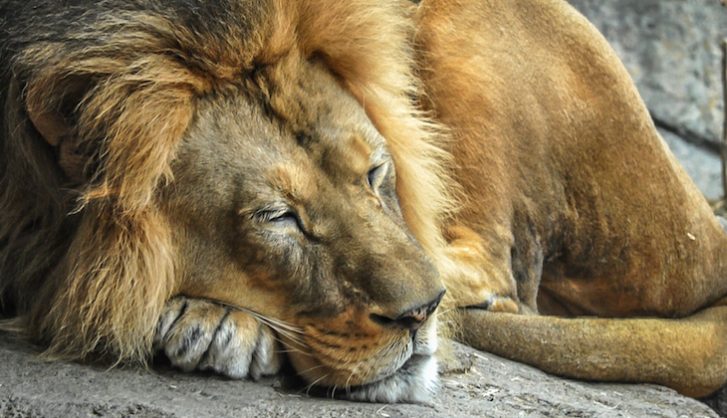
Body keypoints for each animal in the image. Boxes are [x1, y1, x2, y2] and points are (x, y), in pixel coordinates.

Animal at [0, 0, 726, 404]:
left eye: (377, 174)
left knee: (502, 278)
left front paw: (213, 322)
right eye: (277, 217)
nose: (418, 314)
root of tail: (707, 229)